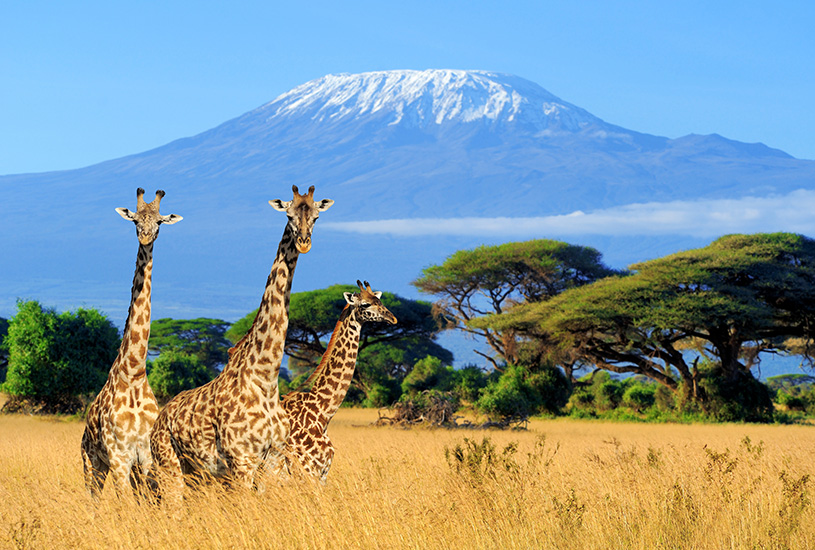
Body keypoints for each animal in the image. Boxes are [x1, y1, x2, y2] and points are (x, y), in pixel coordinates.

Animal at [79, 189, 182, 500]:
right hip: (92, 463)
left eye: (159, 221)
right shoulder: (119, 456)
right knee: (93, 498)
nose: (146, 238)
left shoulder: (145, 456)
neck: (134, 372)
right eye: (135, 220)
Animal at [150, 187, 332, 504]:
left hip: (197, 474)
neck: (265, 377)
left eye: (317, 216)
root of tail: (158, 422)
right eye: (288, 214)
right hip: (169, 466)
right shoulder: (242, 461)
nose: (304, 242)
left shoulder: (273, 460)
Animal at [278, 280, 398, 484]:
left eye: (380, 301)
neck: (323, 411)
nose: (393, 318)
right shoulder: (308, 471)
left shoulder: (322, 474)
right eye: (365, 304)